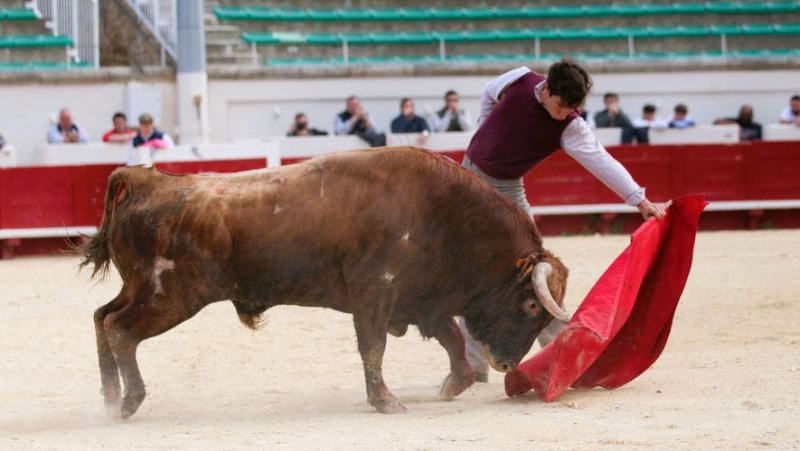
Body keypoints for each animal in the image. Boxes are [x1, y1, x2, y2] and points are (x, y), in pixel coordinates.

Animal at [81, 147, 568, 418]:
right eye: (530, 306)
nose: (507, 364)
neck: (442, 212)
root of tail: (147, 181)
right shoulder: (376, 292)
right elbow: (374, 347)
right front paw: (385, 401)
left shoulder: (420, 300)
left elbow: (450, 341)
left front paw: (450, 387)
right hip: (172, 295)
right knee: (120, 329)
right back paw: (128, 402)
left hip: (143, 289)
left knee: (101, 317)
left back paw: (108, 397)